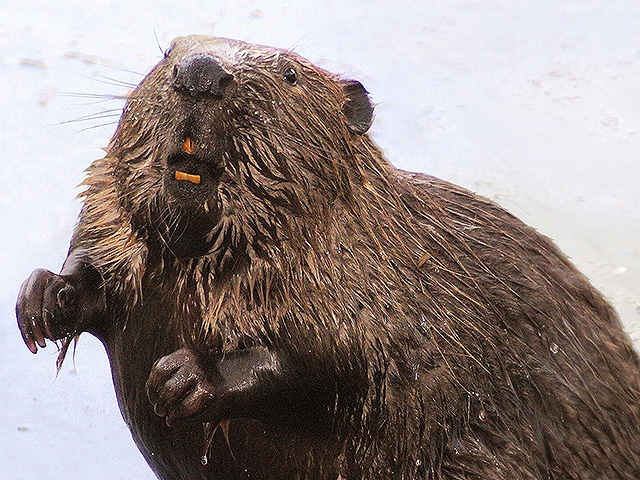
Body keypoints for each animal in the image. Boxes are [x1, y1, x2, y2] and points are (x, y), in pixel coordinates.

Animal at [13, 35, 640, 478]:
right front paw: (42, 300)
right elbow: (102, 263)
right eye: (169, 51)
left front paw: (182, 378)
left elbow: (340, 361)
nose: (202, 73)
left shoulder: (382, 283)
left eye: (290, 75)